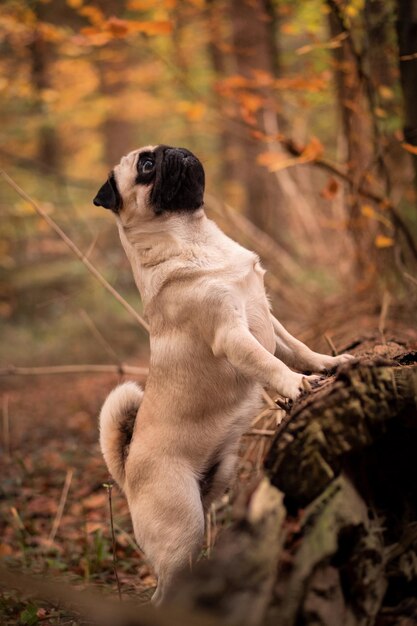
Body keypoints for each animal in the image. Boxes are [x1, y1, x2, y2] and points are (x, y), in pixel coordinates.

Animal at [93, 144, 352, 604]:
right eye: (146, 166)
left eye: (158, 154)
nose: (174, 151)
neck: (193, 237)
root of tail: (126, 472)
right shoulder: (233, 335)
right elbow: (272, 365)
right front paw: (299, 385)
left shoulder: (269, 322)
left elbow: (299, 349)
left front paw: (329, 364)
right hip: (183, 525)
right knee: (164, 589)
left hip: (218, 479)